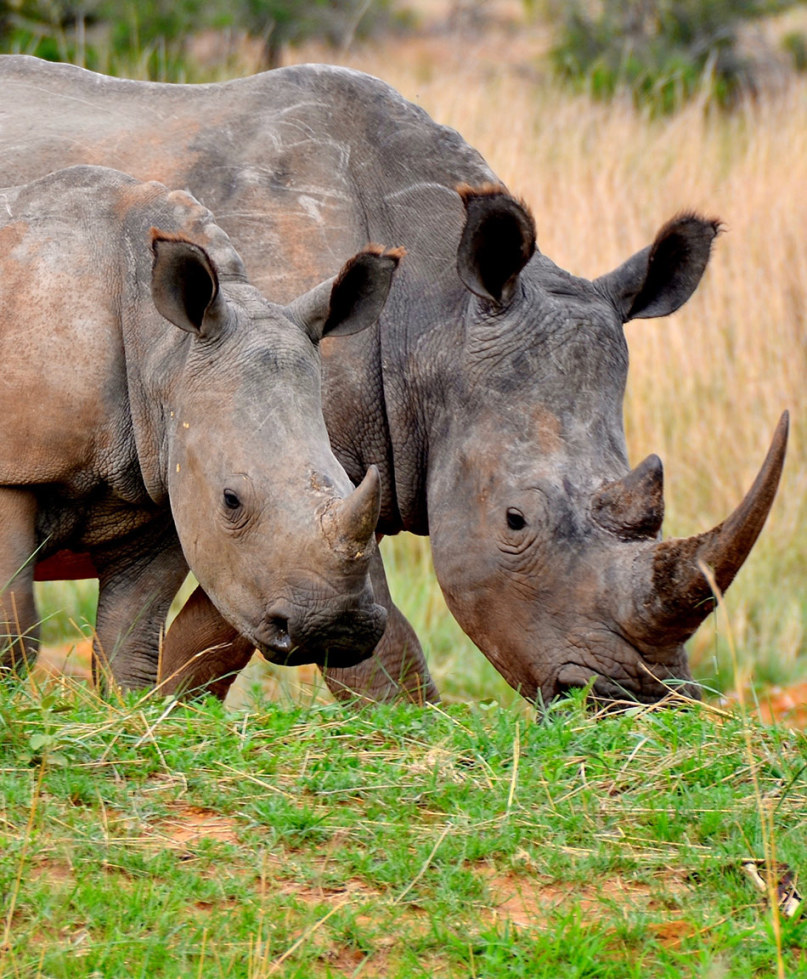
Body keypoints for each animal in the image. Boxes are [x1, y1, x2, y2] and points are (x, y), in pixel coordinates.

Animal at [0, 165, 404, 688]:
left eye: (350, 481)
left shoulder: (161, 476)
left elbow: (129, 643)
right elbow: (13, 625)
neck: (162, 347)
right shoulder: (15, 465)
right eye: (232, 500)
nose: (337, 629)